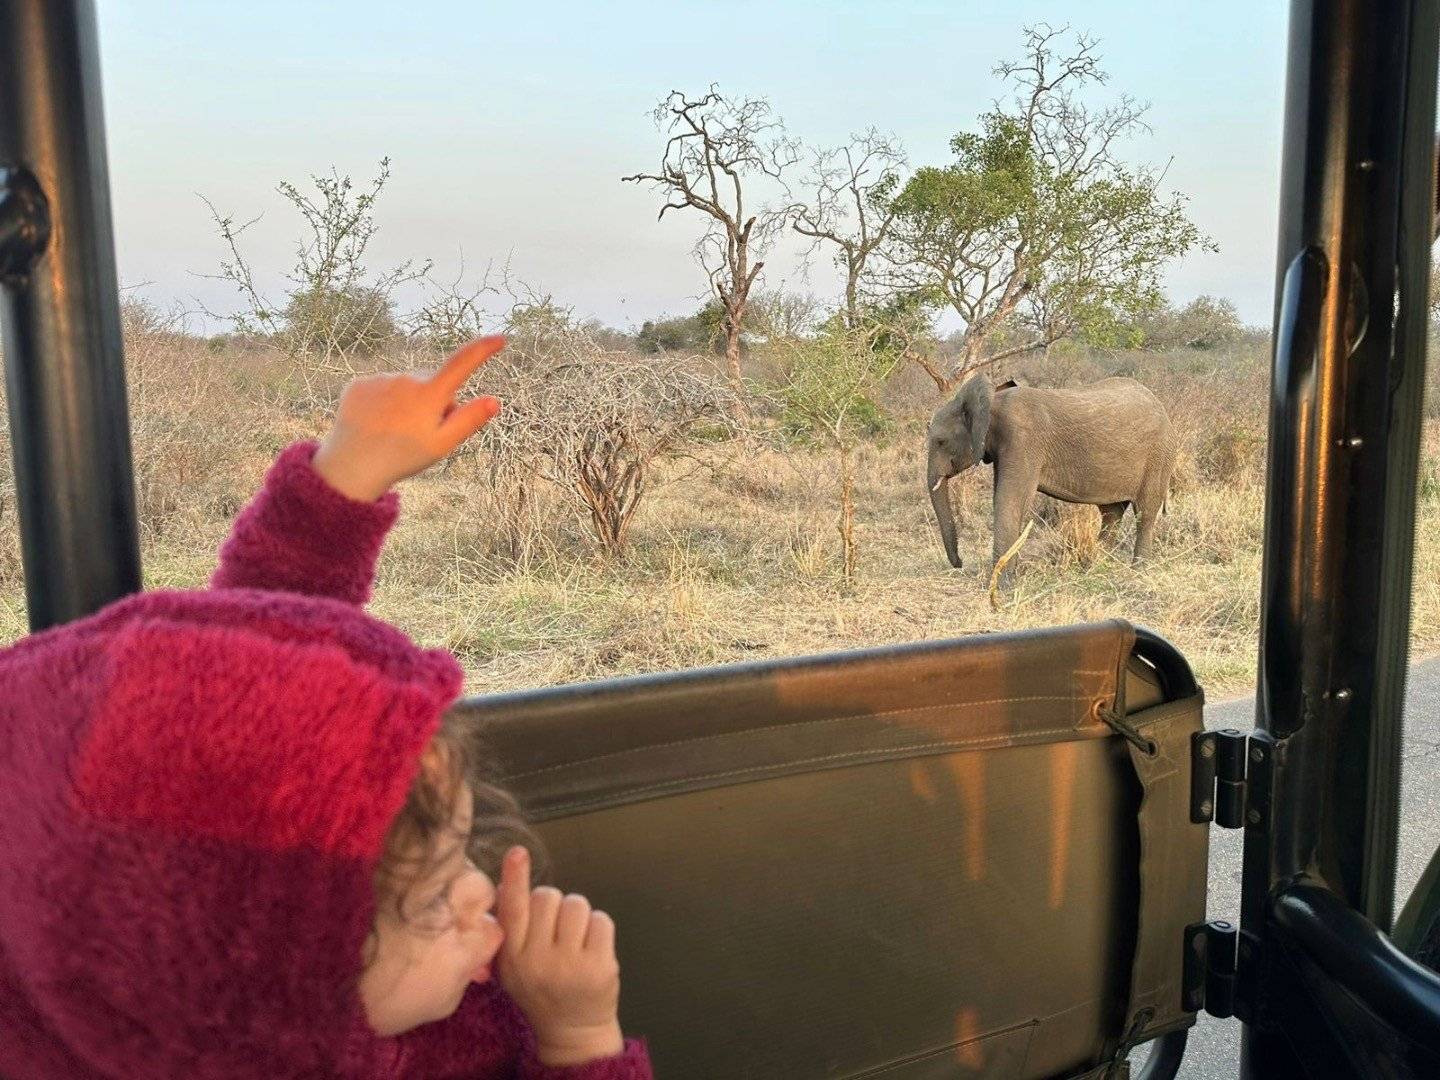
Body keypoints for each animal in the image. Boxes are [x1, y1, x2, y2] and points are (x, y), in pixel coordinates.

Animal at [927, 377, 1175, 578]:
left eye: (940, 441)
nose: (960, 563)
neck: (992, 400)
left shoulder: (1023, 440)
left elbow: (1010, 500)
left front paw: (1001, 584)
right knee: (1111, 512)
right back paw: (1096, 567)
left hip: (1159, 457)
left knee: (1145, 513)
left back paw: (1138, 572)